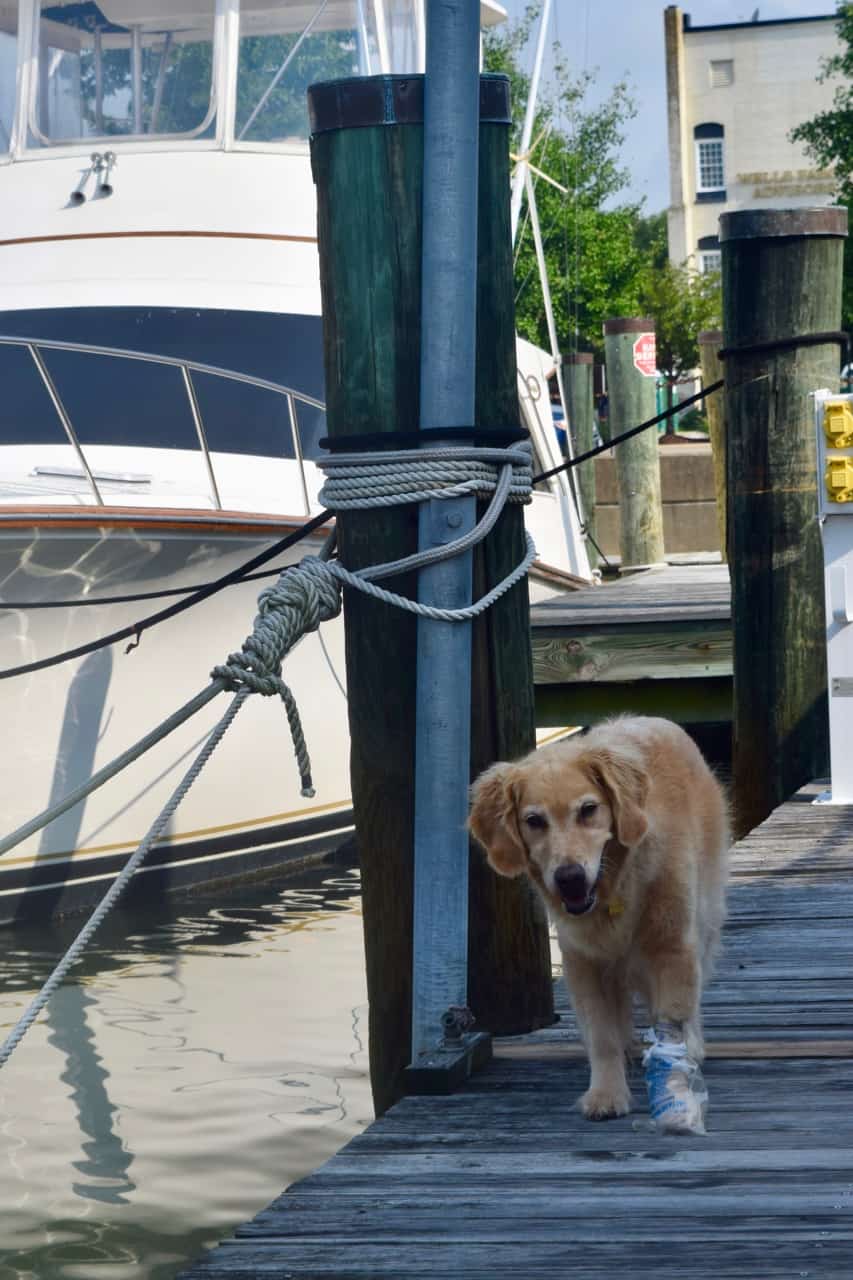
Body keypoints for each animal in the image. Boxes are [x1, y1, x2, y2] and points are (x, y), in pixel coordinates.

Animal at [468, 721, 727, 1121]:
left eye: (588, 809)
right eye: (534, 821)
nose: (570, 878)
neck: (615, 887)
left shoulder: (672, 948)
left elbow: (673, 1025)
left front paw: (675, 1090)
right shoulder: (583, 962)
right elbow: (602, 1037)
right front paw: (607, 1093)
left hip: (704, 915)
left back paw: (694, 1044)